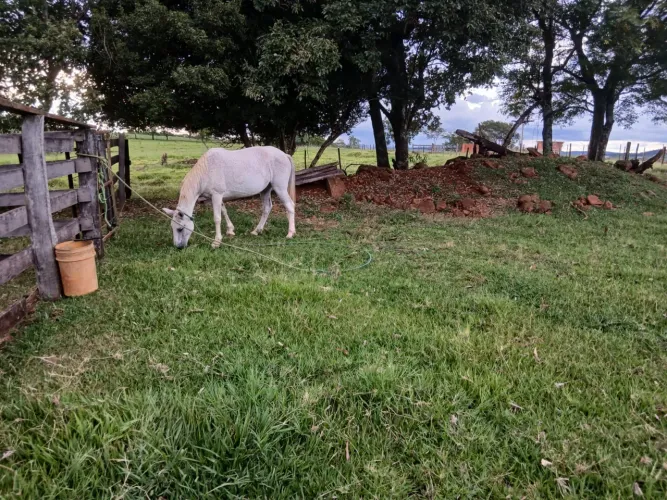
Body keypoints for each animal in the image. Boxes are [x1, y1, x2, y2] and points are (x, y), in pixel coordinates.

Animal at [162, 146, 296, 249]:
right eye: (172, 228)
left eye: (180, 229)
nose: (178, 247)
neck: (206, 169)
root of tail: (284, 155)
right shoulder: (216, 197)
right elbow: (224, 211)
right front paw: (230, 230)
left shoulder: (216, 195)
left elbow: (217, 218)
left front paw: (216, 242)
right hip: (265, 190)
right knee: (267, 208)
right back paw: (256, 231)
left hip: (279, 188)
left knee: (290, 206)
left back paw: (290, 233)